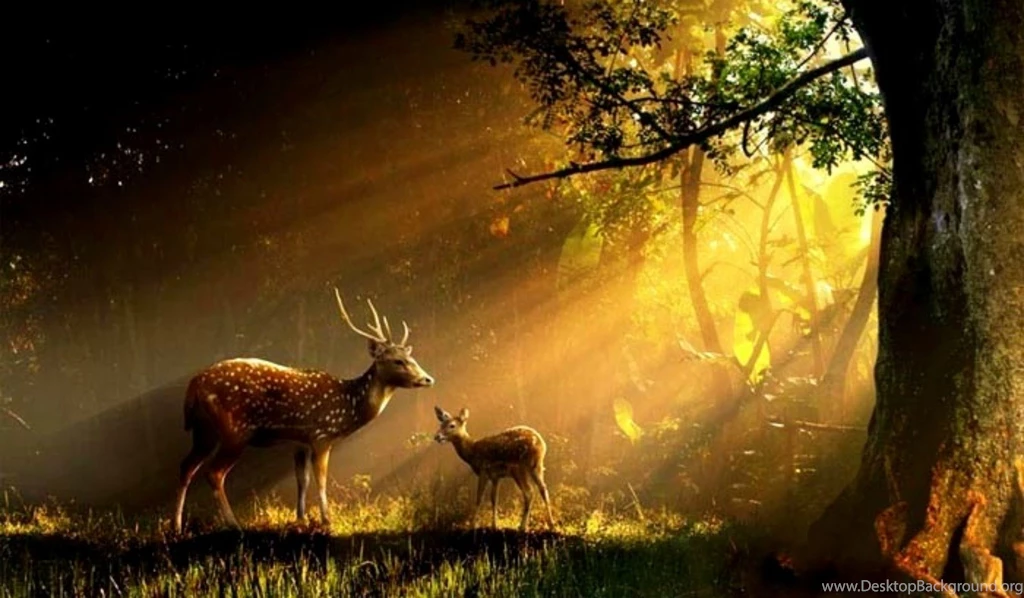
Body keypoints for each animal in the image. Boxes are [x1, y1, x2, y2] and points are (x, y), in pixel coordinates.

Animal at [173, 288, 434, 533]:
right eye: (397, 360)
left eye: (411, 358)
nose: (428, 379)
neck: (348, 406)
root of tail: (194, 384)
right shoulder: (322, 434)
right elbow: (321, 478)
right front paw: (326, 520)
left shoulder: (299, 442)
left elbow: (303, 479)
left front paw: (300, 519)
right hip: (234, 430)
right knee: (214, 472)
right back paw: (233, 523)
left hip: (203, 431)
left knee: (186, 466)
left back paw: (176, 526)